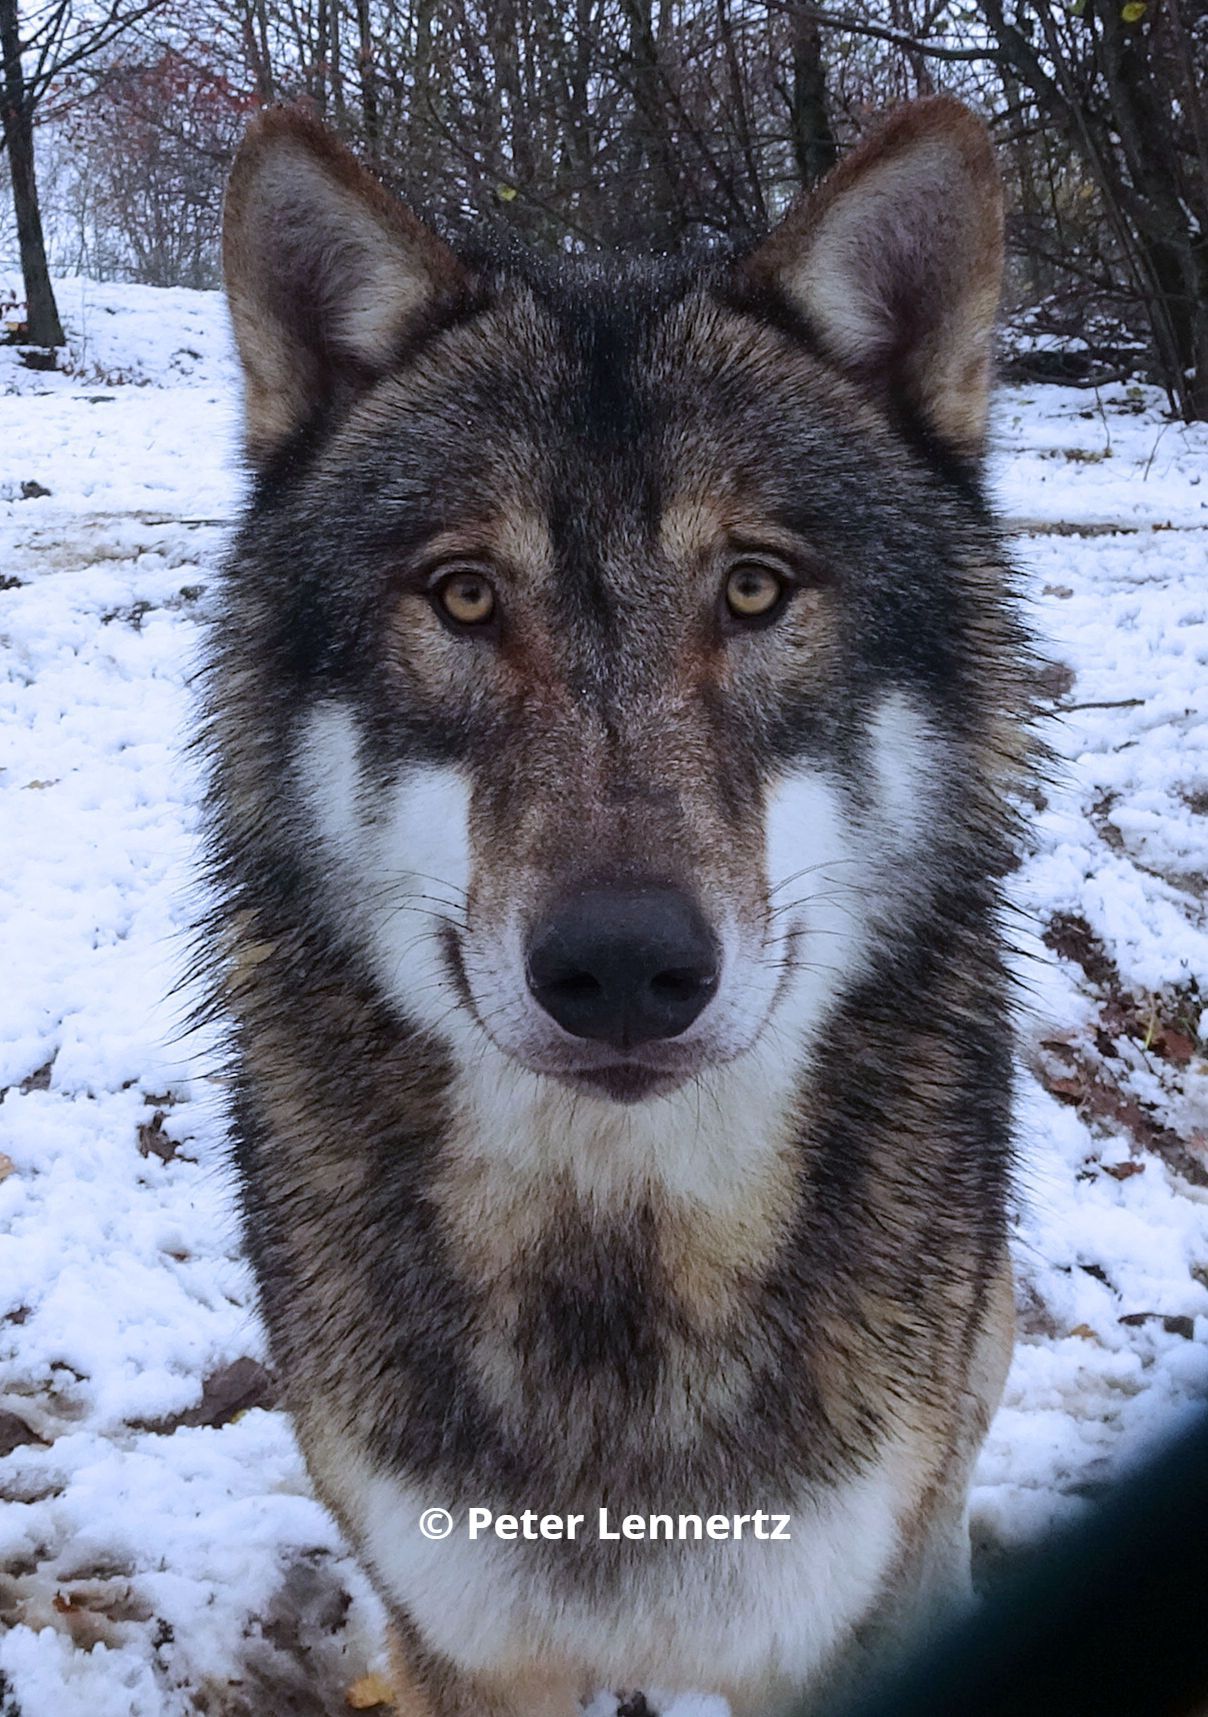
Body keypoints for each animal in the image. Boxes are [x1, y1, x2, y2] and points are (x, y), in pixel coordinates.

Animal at [206, 95, 1029, 1717]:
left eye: (755, 590)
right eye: (464, 598)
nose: (626, 967)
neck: (617, 1263)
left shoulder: (828, 1628)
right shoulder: (462, 1641)